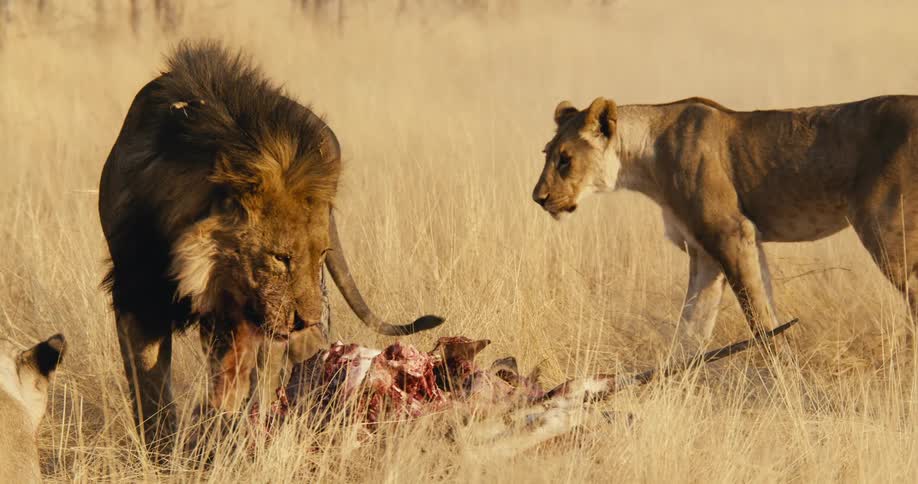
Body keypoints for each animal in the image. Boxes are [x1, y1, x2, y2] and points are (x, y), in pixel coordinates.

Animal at [99, 41, 444, 452]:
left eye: (321, 255)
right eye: (281, 258)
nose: (307, 321)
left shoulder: (237, 312)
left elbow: (229, 380)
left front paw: (215, 432)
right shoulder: (137, 294)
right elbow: (148, 385)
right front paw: (163, 450)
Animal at [532, 95, 918, 351]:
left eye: (565, 159)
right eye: (547, 154)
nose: (538, 198)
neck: (645, 158)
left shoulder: (731, 233)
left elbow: (760, 321)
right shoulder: (708, 253)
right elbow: (691, 332)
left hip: (887, 231)